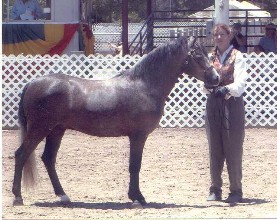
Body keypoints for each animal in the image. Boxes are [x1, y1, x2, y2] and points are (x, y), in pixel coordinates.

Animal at [12, 36, 218, 206]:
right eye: (197, 54)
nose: (216, 78)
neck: (144, 85)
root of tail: (32, 83)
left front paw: (136, 196)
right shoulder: (138, 136)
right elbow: (135, 165)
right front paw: (137, 198)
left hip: (56, 130)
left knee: (48, 159)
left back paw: (63, 196)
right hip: (39, 129)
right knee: (21, 155)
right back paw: (17, 197)